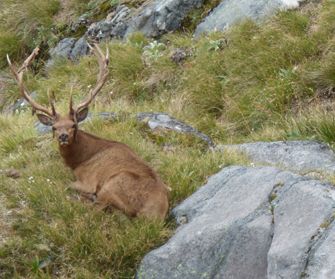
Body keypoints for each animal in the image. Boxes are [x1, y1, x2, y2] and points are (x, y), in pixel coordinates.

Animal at [7, 44, 171, 221]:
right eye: (54, 127)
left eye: (73, 125)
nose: (63, 136)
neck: (79, 160)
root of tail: (153, 215)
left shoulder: (87, 180)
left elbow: (65, 184)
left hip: (112, 185)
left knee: (99, 207)